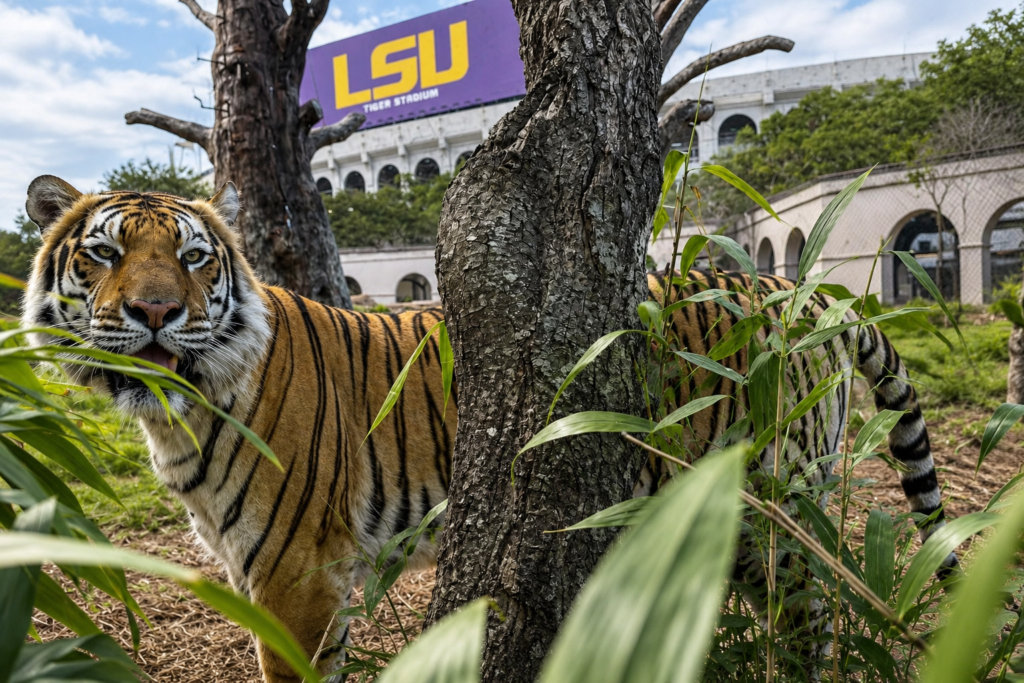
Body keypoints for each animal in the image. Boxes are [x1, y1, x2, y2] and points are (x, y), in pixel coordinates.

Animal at [22, 176, 949, 682]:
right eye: (103, 255)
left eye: (194, 257)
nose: (155, 312)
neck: (176, 411)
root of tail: (795, 291)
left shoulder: (297, 575)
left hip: (777, 506)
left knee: (817, 616)